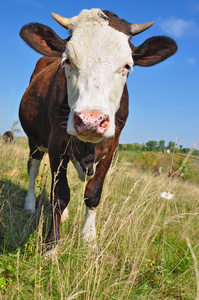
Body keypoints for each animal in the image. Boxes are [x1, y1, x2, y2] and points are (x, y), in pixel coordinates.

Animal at [19, 9, 177, 248]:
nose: (90, 120)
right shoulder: (57, 143)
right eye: (67, 61)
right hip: (34, 141)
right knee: (33, 169)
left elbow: (93, 192)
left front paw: (88, 237)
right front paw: (52, 246)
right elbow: (59, 195)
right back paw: (29, 205)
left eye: (127, 66)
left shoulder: (112, 146)